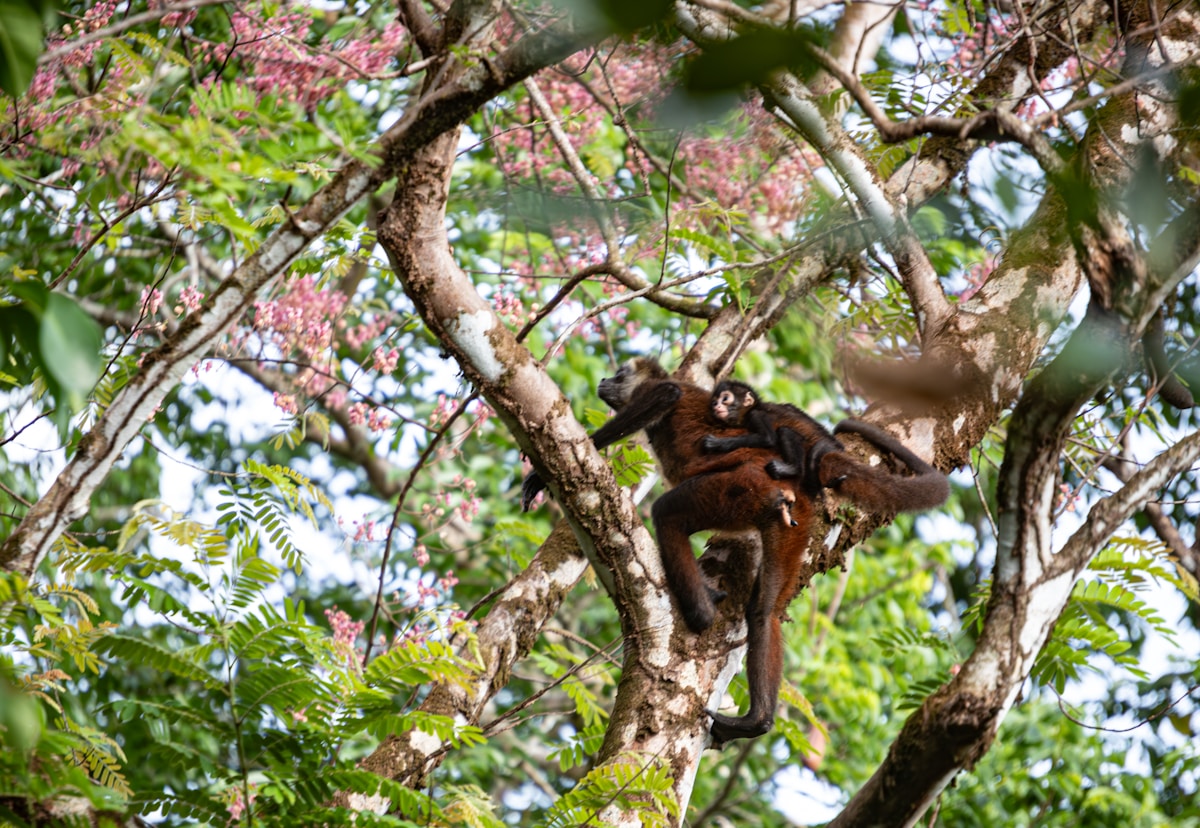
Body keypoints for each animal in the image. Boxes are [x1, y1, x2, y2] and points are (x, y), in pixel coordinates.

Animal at [702, 379, 950, 513]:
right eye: (715, 401)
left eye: (725, 399)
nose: (716, 406)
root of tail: (835, 445)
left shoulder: (756, 415)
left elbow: (768, 438)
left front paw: (717, 443)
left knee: (785, 433)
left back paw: (791, 469)